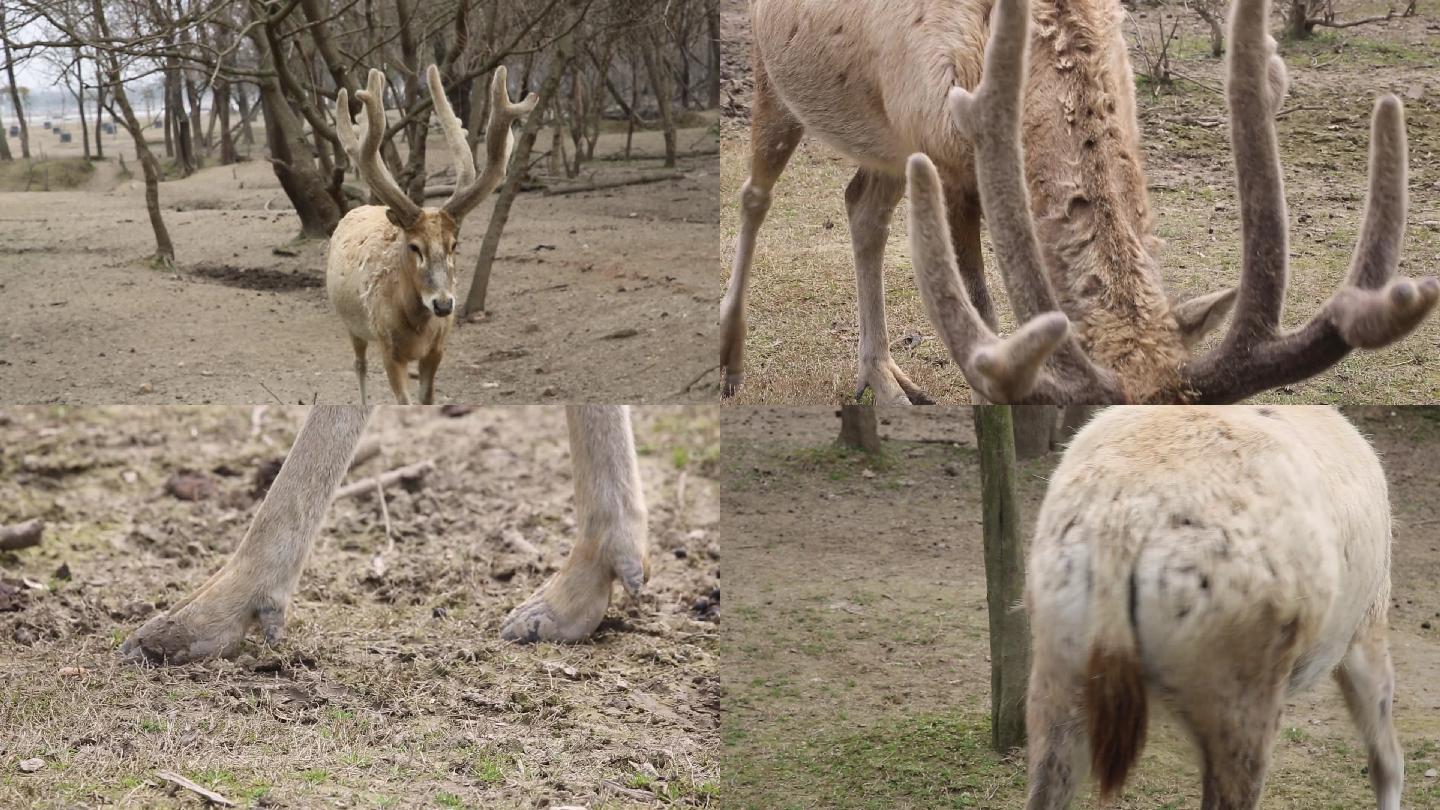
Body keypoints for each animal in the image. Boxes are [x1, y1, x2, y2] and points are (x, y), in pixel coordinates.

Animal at [326, 63, 541, 406]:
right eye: (414, 246)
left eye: (454, 244)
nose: (443, 305)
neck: (416, 328)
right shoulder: (388, 348)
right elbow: (403, 401)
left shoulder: (437, 348)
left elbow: (427, 399)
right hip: (352, 324)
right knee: (359, 364)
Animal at [720, 0, 1440, 403]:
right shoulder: (946, 148)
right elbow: (983, 310)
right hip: (775, 78)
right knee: (755, 194)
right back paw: (730, 360)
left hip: (886, 143)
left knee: (861, 207)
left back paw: (884, 380)